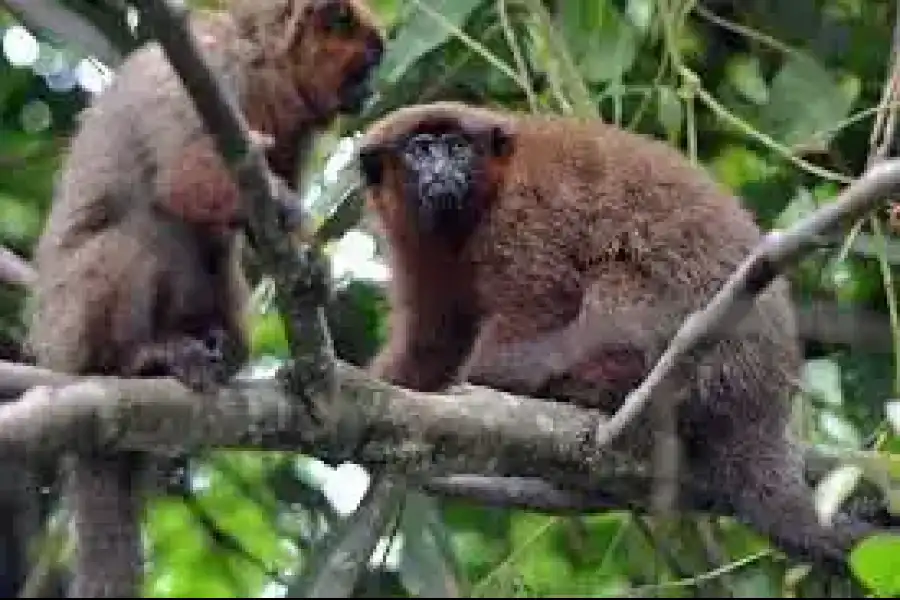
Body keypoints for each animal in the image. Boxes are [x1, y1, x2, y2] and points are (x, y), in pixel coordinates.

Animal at [24, 1, 384, 596]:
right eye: (367, 64)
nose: (374, 88)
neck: (263, 66)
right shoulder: (206, 76)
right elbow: (184, 180)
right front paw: (289, 212)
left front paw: (309, 261)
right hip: (71, 324)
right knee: (148, 226)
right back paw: (143, 358)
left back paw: (219, 350)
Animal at [356, 101, 884, 584]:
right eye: (421, 150)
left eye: (457, 147)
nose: (442, 169)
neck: (482, 202)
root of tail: (760, 404)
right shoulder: (419, 251)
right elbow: (433, 336)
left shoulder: (525, 207)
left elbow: (536, 300)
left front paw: (493, 376)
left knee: (619, 267)